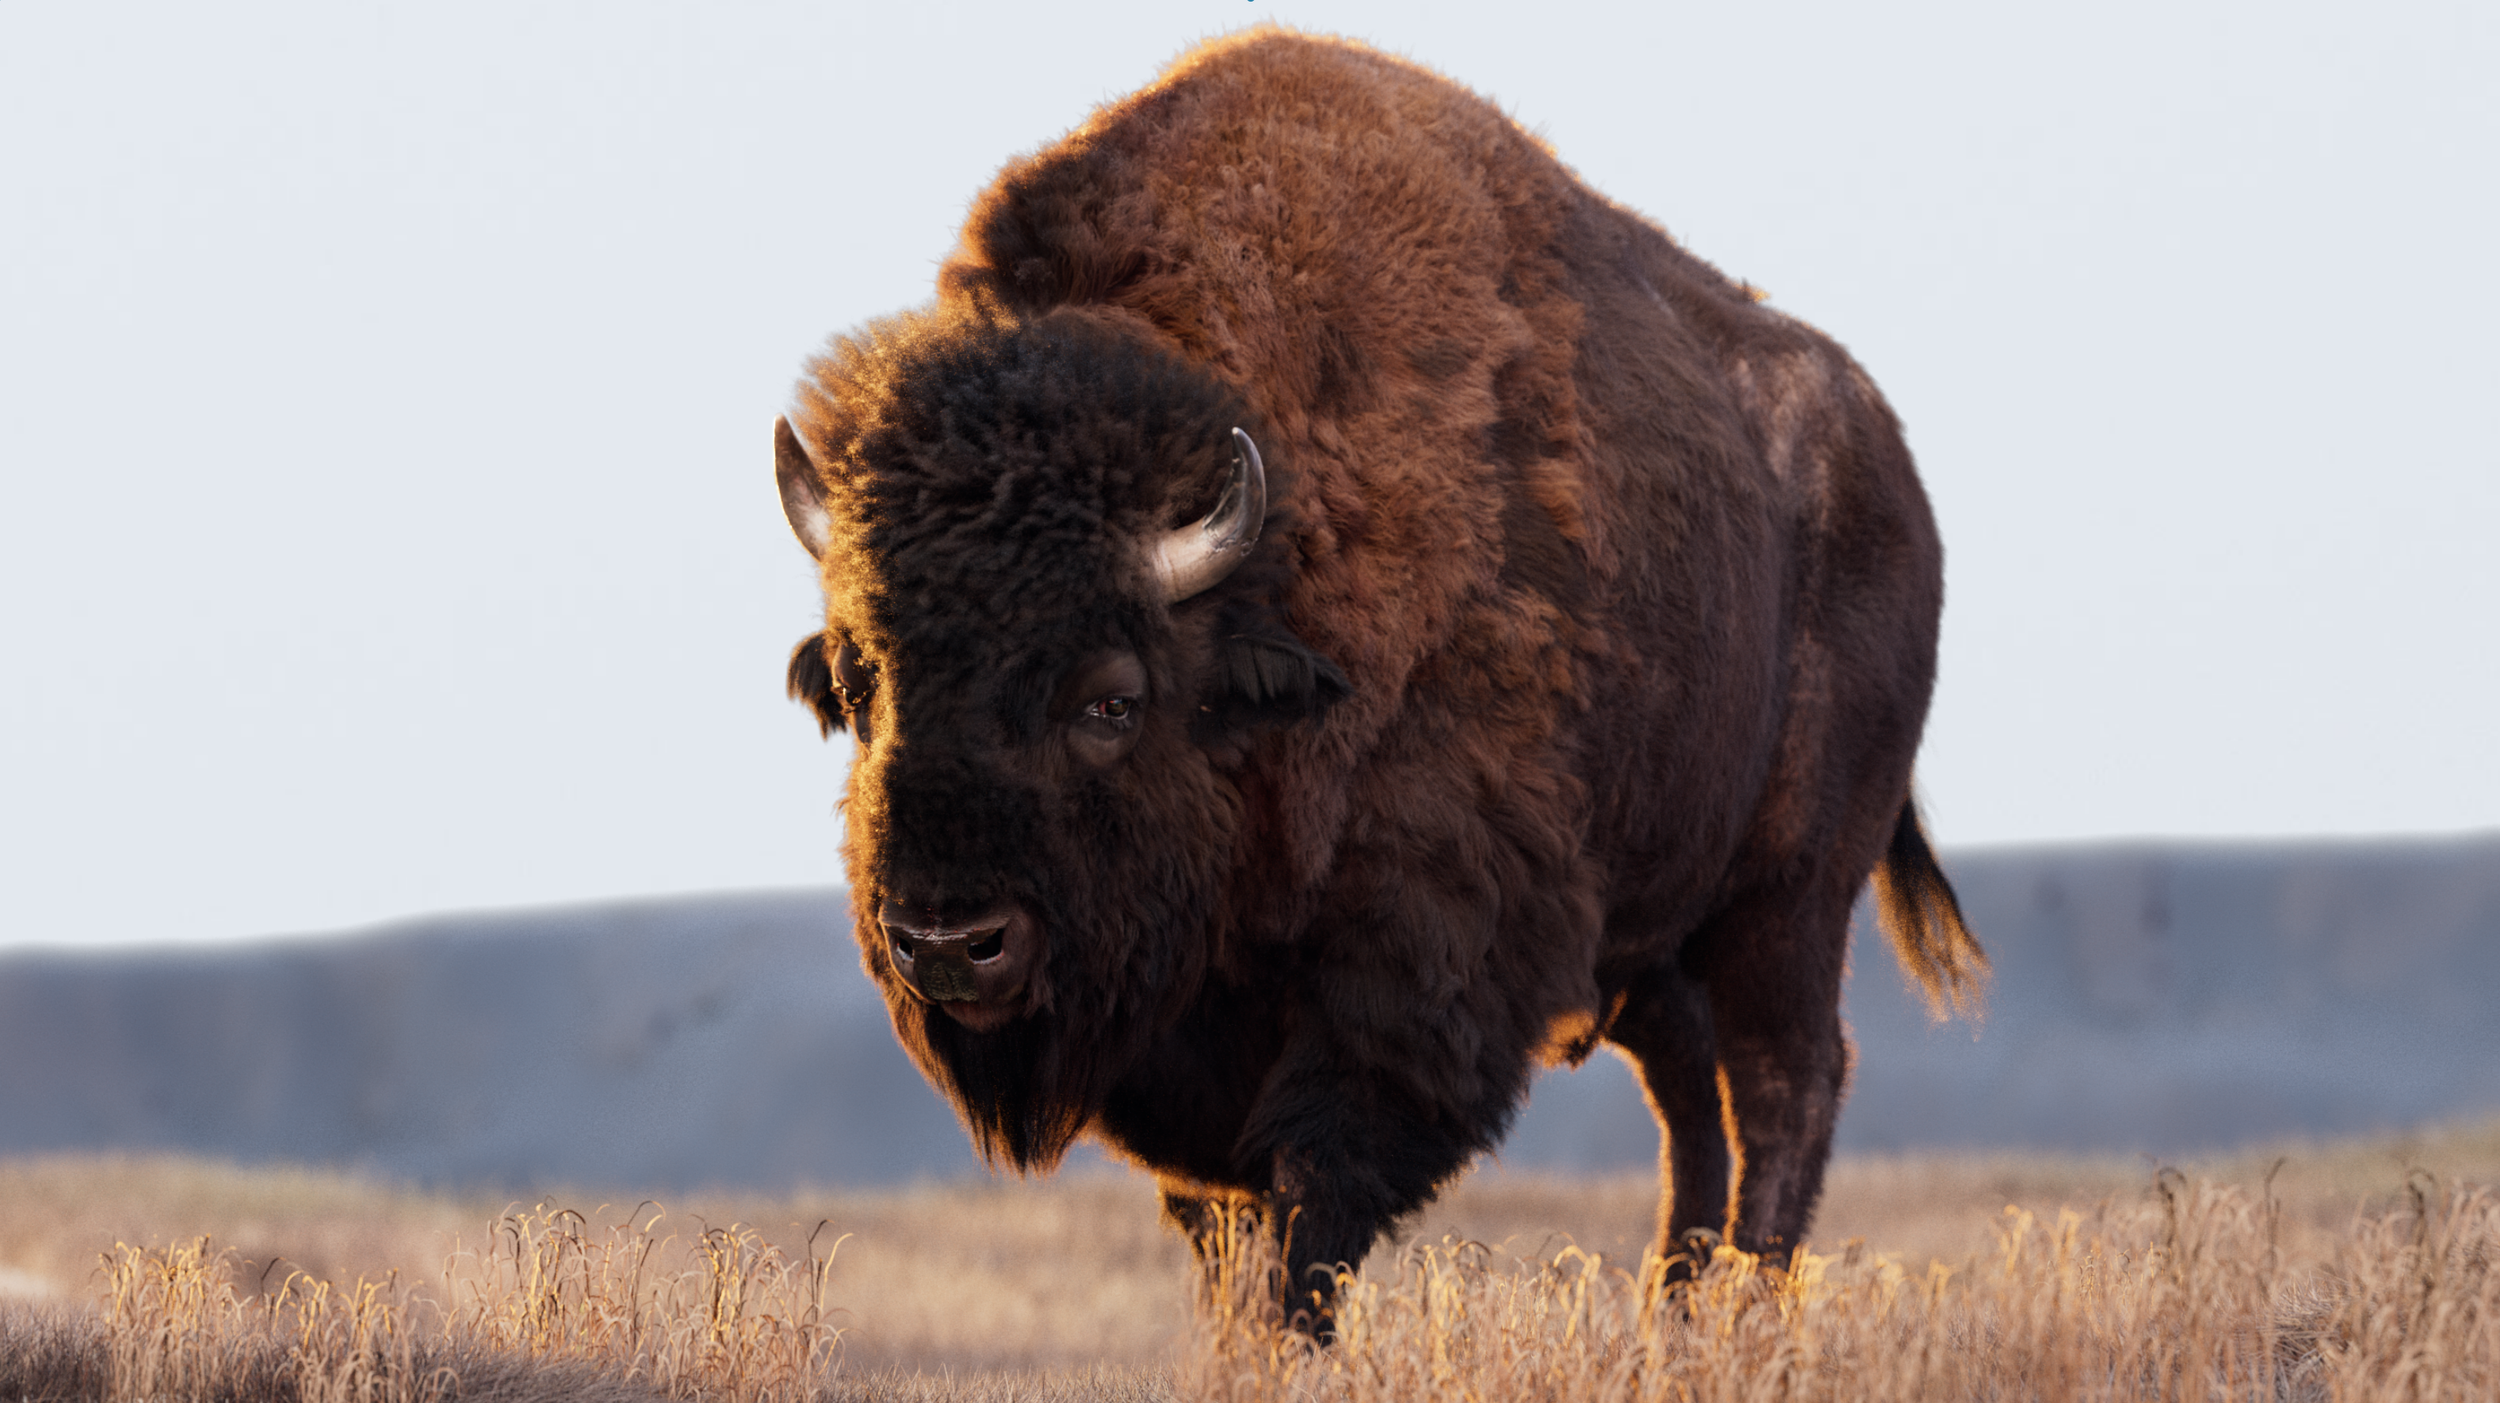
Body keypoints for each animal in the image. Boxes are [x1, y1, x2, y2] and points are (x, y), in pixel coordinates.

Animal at [772, 29, 1984, 1323]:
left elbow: (1312, 1210)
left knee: (1782, 1087)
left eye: (1111, 697)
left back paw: (1742, 1319)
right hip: (1665, 937)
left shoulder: (1406, 985)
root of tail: (1891, 468)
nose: (949, 941)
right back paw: (1669, 1321)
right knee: (1692, 1108)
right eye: (858, 684)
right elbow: (1224, 1227)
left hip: (1787, 897)